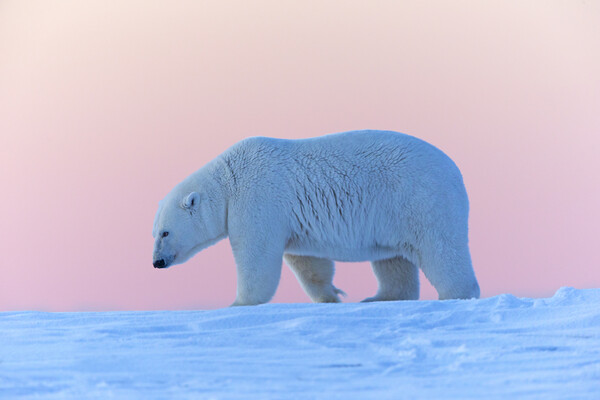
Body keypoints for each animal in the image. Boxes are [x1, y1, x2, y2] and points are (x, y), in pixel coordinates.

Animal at [152, 130, 480, 304]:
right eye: (154, 232)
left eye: (165, 232)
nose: (157, 262)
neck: (229, 180)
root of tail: (456, 171)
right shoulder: (289, 222)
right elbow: (308, 262)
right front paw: (330, 296)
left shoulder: (257, 199)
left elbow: (256, 257)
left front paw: (238, 303)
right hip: (394, 216)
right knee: (393, 262)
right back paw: (378, 298)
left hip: (420, 200)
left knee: (441, 250)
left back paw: (457, 296)